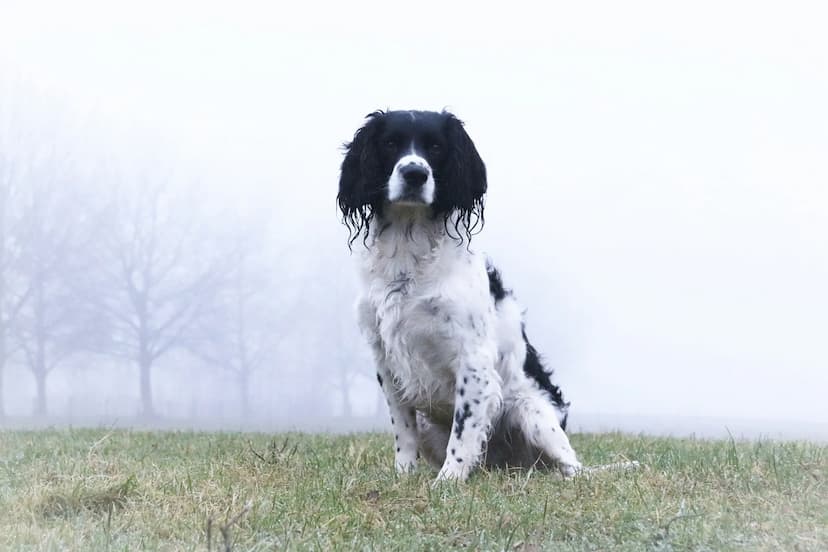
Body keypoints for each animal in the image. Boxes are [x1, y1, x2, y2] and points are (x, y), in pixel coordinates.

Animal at [336, 110, 584, 480]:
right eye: (390, 143)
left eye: (436, 147)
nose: (415, 173)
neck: (409, 256)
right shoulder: (385, 359)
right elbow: (403, 432)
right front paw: (404, 475)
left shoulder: (474, 361)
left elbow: (464, 430)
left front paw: (448, 480)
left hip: (534, 415)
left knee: (575, 467)